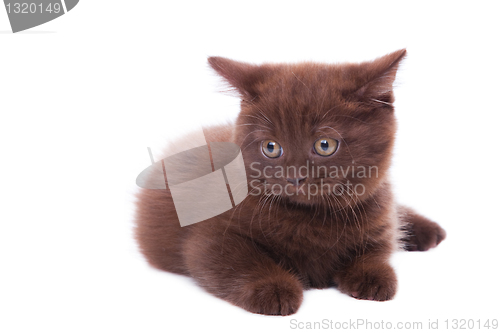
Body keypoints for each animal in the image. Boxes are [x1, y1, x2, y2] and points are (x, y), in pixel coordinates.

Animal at [135, 49, 448, 314]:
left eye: (325, 144)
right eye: (271, 148)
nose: (294, 177)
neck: (313, 218)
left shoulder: (378, 216)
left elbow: (377, 249)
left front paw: (373, 276)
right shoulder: (211, 236)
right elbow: (237, 260)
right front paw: (273, 289)